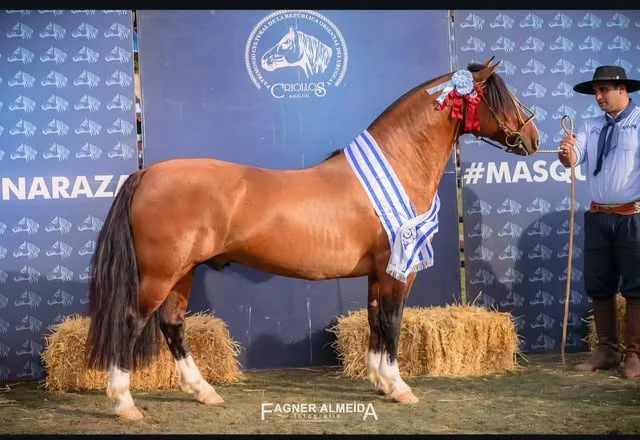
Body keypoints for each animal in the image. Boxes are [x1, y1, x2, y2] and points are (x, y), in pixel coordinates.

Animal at [85, 57, 540, 420]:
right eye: (501, 98)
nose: (533, 138)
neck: (397, 165)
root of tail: (147, 173)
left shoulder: (377, 271)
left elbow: (375, 320)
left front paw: (378, 381)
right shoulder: (397, 270)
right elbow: (392, 322)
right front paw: (399, 387)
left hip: (184, 271)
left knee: (173, 324)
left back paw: (204, 392)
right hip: (160, 274)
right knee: (130, 322)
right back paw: (125, 403)